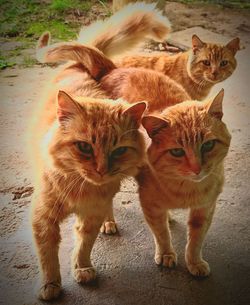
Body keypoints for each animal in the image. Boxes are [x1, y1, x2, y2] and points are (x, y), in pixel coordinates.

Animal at [29, 47, 146, 296]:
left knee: (109, 207)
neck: (80, 188)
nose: (101, 170)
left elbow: (84, 246)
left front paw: (82, 269)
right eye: (84, 147)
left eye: (119, 150)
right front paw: (50, 284)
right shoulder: (43, 217)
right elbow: (48, 257)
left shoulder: (92, 213)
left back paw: (109, 223)